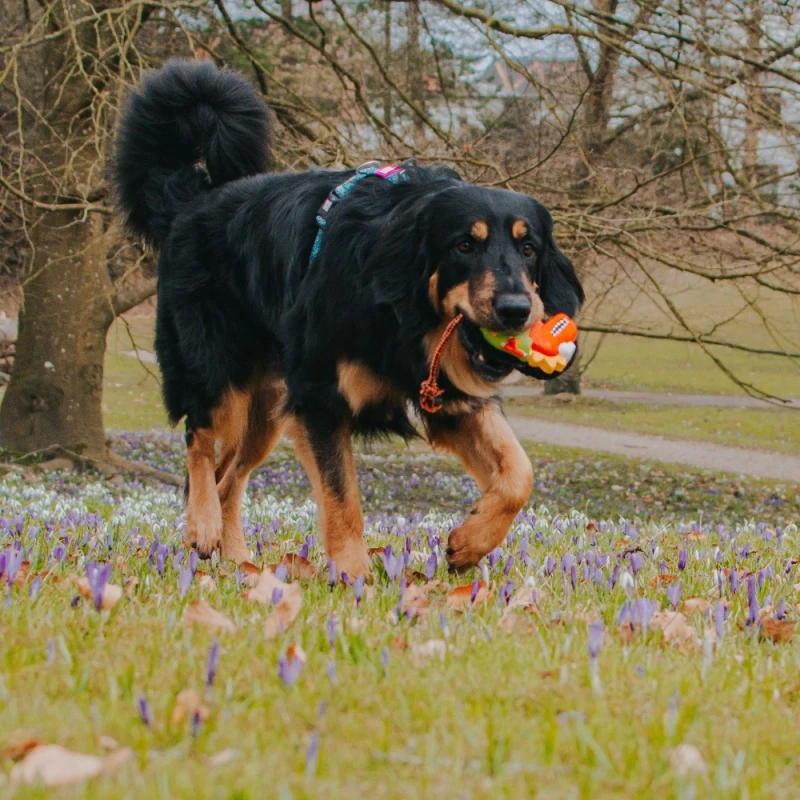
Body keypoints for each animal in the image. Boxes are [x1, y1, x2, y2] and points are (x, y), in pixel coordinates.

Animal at [115, 61, 584, 576]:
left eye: (529, 248)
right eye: (464, 245)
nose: (516, 309)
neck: (401, 317)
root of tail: (191, 202)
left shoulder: (444, 397)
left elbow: (519, 473)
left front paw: (471, 541)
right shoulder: (320, 399)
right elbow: (343, 501)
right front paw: (355, 577)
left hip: (267, 408)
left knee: (230, 477)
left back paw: (238, 562)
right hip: (218, 374)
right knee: (198, 441)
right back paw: (203, 526)